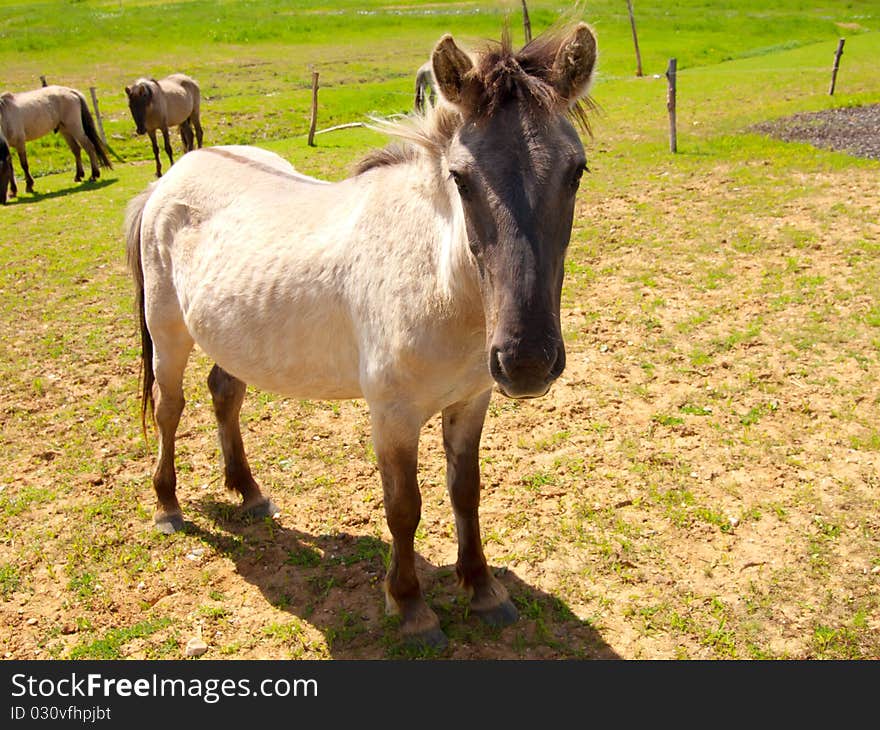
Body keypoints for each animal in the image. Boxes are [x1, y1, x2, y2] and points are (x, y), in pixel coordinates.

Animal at [125, 24, 600, 648]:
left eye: (576, 170)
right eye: (461, 177)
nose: (526, 361)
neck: (437, 280)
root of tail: (168, 179)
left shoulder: (470, 402)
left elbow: (465, 493)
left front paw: (482, 589)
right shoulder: (393, 415)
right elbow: (404, 507)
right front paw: (411, 605)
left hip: (236, 337)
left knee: (225, 394)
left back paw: (250, 493)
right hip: (169, 335)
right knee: (169, 408)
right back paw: (167, 506)